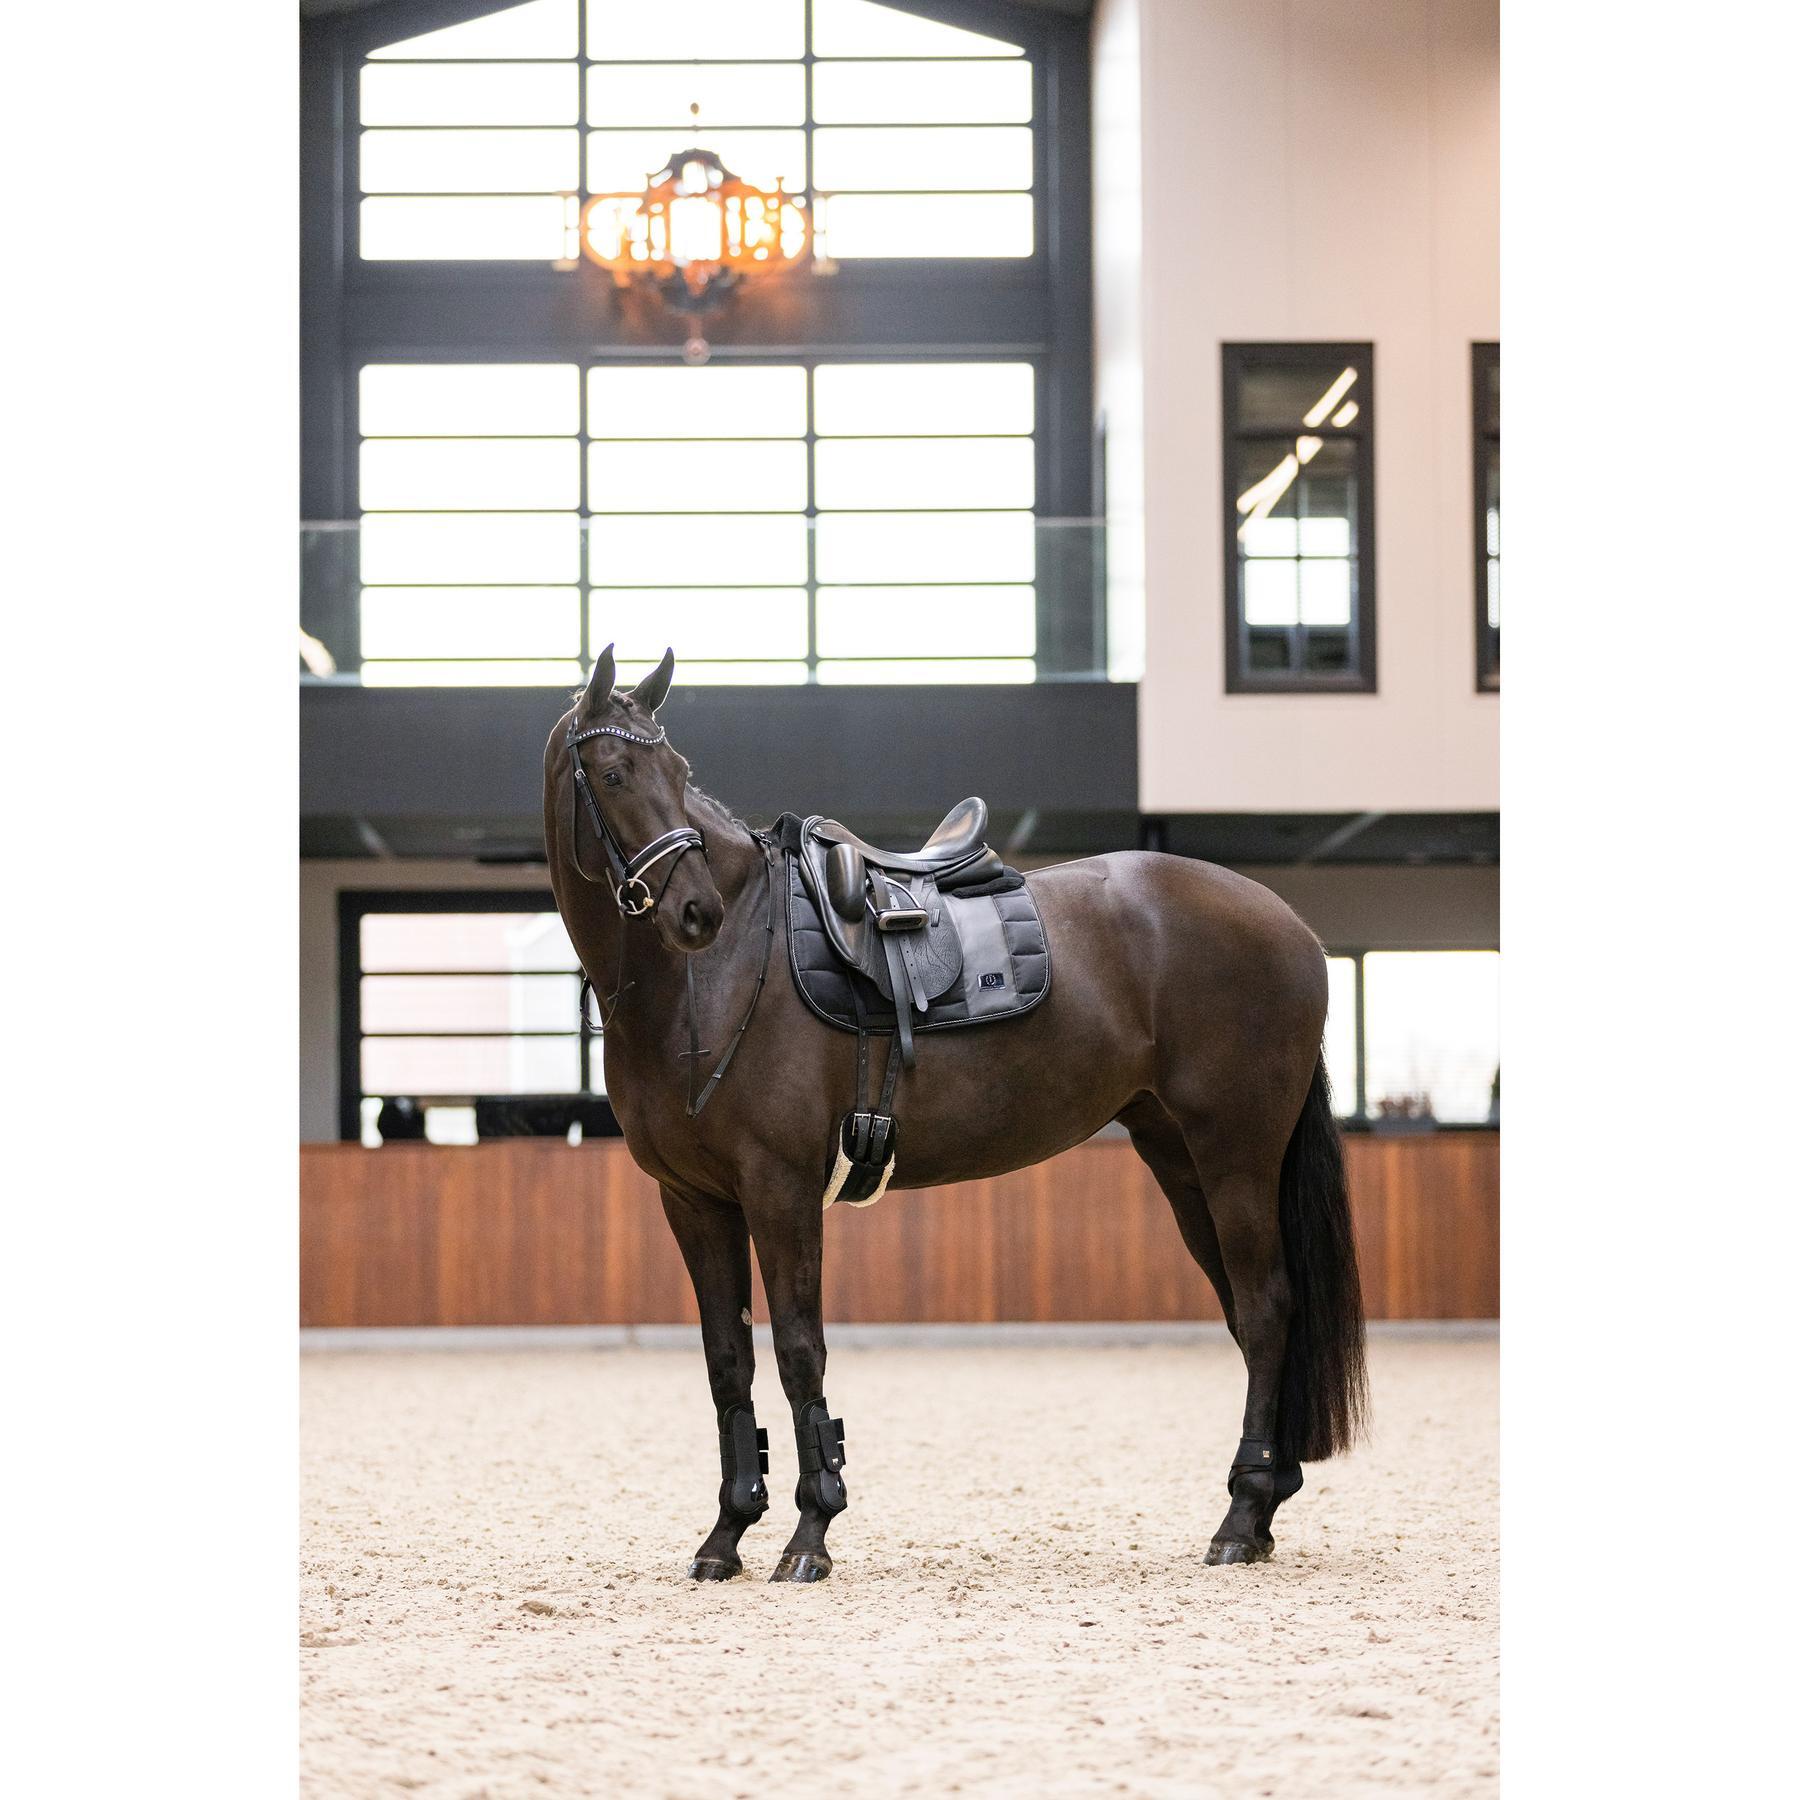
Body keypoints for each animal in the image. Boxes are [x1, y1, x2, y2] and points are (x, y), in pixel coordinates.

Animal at [544, 646, 1367, 1583]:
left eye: (678, 774)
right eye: (614, 772)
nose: (696, 913)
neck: (711, 975)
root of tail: (1289, 923)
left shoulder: (779, 1188)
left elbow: (797, 1349)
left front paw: (810, 1532)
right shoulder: (694, 1201)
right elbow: (728, 1363)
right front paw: (726, 1535)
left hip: (1237, 1155)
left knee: (1266, 1310)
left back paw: (1238, 1516)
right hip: (1182, 1159)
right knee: (1246, 1311)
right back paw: (1260, 1508)